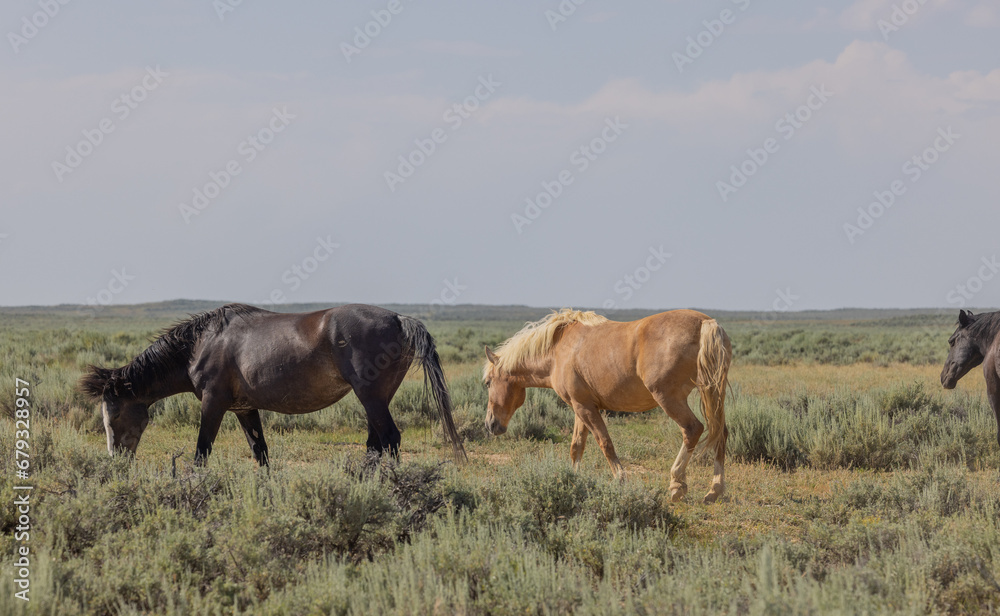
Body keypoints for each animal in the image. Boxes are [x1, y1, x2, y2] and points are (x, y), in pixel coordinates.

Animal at [80, 300, 466, 464]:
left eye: (114, 415)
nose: (116, 461)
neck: (202, 343)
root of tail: (400, 319)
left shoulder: (213, 404)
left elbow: (201, 453)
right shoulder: (244, 410)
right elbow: (260, 454)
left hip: (370, 397)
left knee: (390, 440)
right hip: (376, 400)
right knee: (376, 445)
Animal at [480, 310, 732, 502]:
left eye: (488, 382)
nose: (490, 424)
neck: (558, 349)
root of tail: (706, 323)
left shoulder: (585, 409)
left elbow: (605, 443)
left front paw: (620, 479)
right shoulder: (580, 407)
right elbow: (576, 446)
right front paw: (573, 479)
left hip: (669, 399)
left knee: (693, 429)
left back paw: (677, 485)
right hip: (714, 394)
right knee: (721, 432)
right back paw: (715, 490)